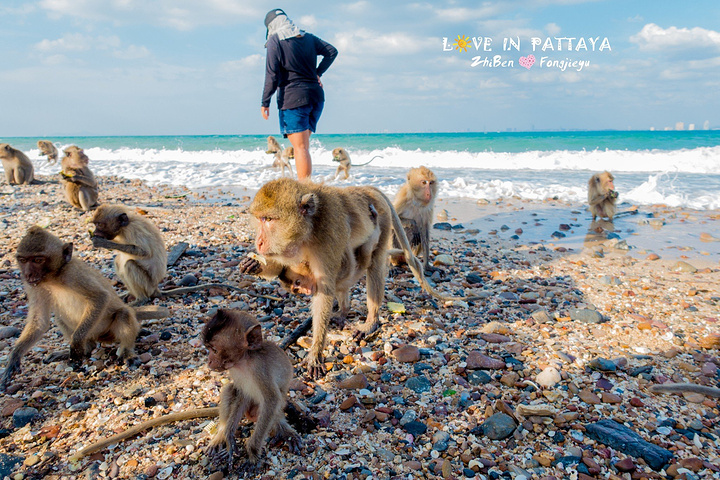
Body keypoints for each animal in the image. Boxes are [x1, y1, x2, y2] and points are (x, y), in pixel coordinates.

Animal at [202, 308, 300, 468]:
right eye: (208, 349)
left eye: (214, 350)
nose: (209, 361)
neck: (244, 361)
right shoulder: (235, 371)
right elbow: (242, 395)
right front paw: (229, 437)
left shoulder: (260, 368)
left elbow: (272, 399)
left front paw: (252, 451)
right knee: (230, 389)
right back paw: (221, 434)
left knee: (273, 407)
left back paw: (282, 428)